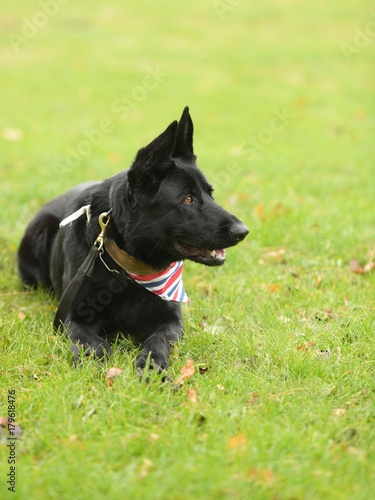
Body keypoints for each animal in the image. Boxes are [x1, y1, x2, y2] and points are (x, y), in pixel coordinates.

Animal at [17, 107, 248, 374]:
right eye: (188, 199)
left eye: (210, 194)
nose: (243, 231)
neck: (126, 267)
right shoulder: (73, 317)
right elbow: (95, 345)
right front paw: (93, 362)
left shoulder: (171, 321)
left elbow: (156, 341)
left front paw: (152, 365)